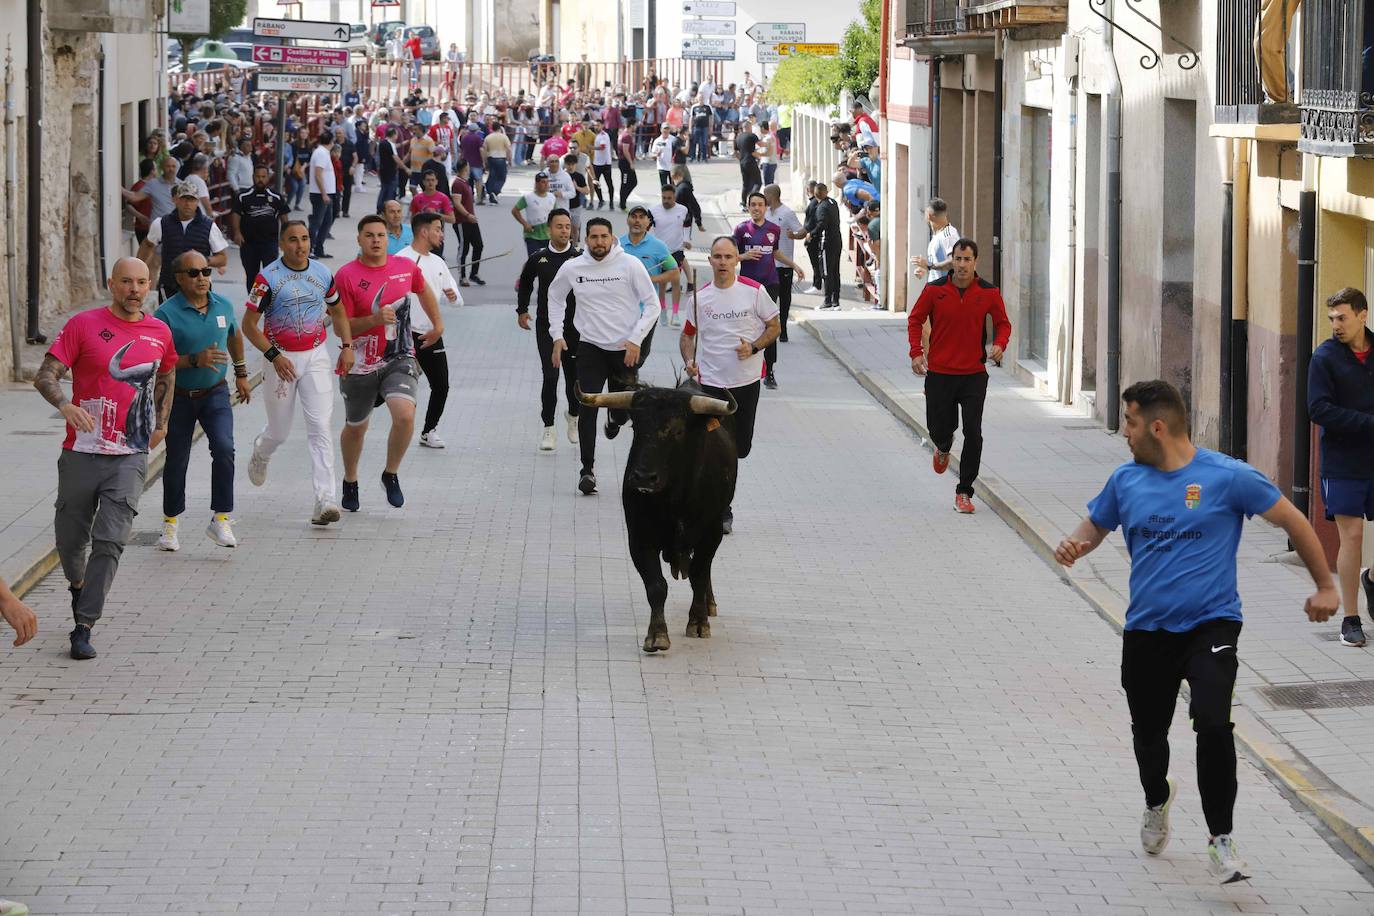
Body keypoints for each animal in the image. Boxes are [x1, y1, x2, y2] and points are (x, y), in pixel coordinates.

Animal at [574, 379, 736, 650]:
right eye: (636, 427)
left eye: (678, 431)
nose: (643, 477)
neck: (674, 501)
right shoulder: (640, 537)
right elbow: (656, 585)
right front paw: (657, 635)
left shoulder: (710, 533)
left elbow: (699, 575)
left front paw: (698, 622)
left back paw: (709, 605)